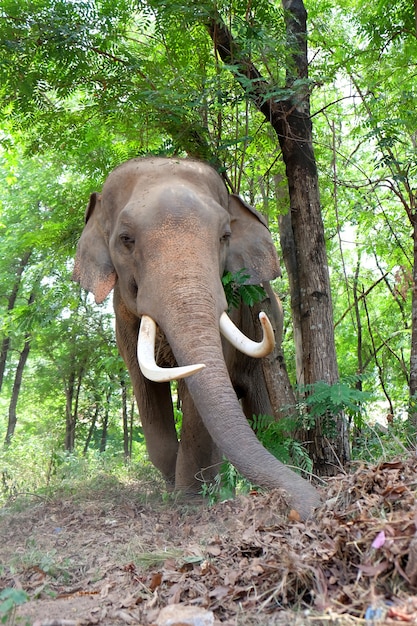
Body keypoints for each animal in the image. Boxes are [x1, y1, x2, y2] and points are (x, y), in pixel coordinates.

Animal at [72, 156, 318, 516]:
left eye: (225, 235)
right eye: (126, 239)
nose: (305, 506)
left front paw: (192, 496)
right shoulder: (123, 318)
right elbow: (144, 389)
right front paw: (173, 484)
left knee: (261, 408)